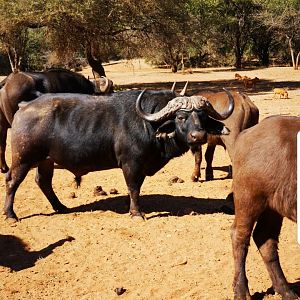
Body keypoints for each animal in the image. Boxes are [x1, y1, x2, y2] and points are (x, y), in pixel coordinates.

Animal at [4, 88, 234, 220]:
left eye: (202, 117)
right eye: (180, 117)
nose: (199, 136)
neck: (148, 124)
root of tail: (24, 107)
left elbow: (136, 188)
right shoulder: (131, 164)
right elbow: (133, 188)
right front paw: (136, 213)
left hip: (46, 161)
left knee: (43, 181)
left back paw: (60, 207)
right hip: (22, 160)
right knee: (12, 182)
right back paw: (10, 214)